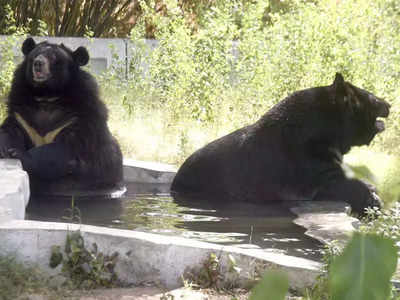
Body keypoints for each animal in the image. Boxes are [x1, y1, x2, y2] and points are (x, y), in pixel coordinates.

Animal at [0, 37, 123, 196]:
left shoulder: (79, 118)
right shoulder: (22, 114)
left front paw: (18, 153)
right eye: (35, 55)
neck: (47, 96)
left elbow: (61, 150)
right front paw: (5, 148)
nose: (38, 64)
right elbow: (11, 130)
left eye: (53, 58)